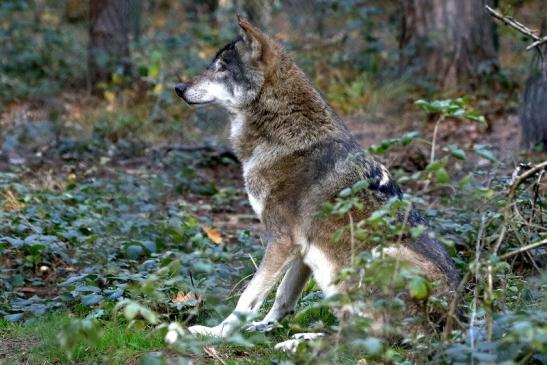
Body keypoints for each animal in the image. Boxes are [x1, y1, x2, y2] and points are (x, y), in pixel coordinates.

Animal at [174, 14, 458, 350]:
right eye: (213, 64)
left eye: (221, 67)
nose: (178, 87)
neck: (287, 134)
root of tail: (450, 329)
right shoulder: (302, 247)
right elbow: (283, 297)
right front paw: (263, 326)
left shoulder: (282, 240)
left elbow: (248, 297)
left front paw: (217, 333)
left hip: (377, 258)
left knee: (364, 340)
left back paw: (300, 343)